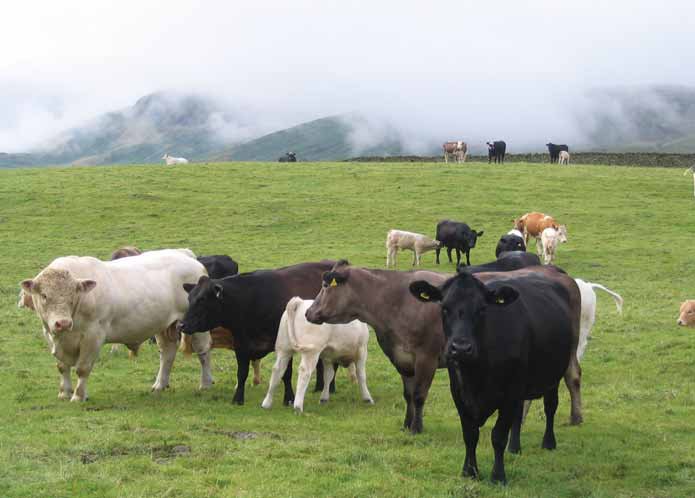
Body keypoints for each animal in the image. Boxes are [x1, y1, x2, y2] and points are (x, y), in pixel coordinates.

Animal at [21, 249, 212, 400]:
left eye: (73, 296)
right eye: (44, 296)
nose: (63, 323)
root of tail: (184, 254)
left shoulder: (93, 336)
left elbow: (82, 368)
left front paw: (78, 396)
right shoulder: (50, 335)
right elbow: (62, 366)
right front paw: (64, 393)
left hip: (196, 325)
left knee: (203, 351)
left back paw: (205, 383)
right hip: (165, 325)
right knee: (167, 353)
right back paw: (159, 385)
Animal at [177, 260, 334, 404]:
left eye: (202, 299)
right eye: (189, 298)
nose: (181, 325)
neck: (251, 302)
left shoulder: (284, 345)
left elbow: (286, 373)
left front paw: (289, 398)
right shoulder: (241, 344)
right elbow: (242, 373)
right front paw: (238, 399)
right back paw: (320, 387)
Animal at [410, 266, 580, 484]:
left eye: (482, 309)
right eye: (444, 308)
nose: (461, 348)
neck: (476, 374)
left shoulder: (509, 394)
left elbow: (498, 436)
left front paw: (498, 476)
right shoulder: (458, 393)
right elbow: (470, 434)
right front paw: (469, 471)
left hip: (553, 374)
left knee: (550, 406)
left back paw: (548, 442)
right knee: (518, 415)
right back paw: (514, 447)